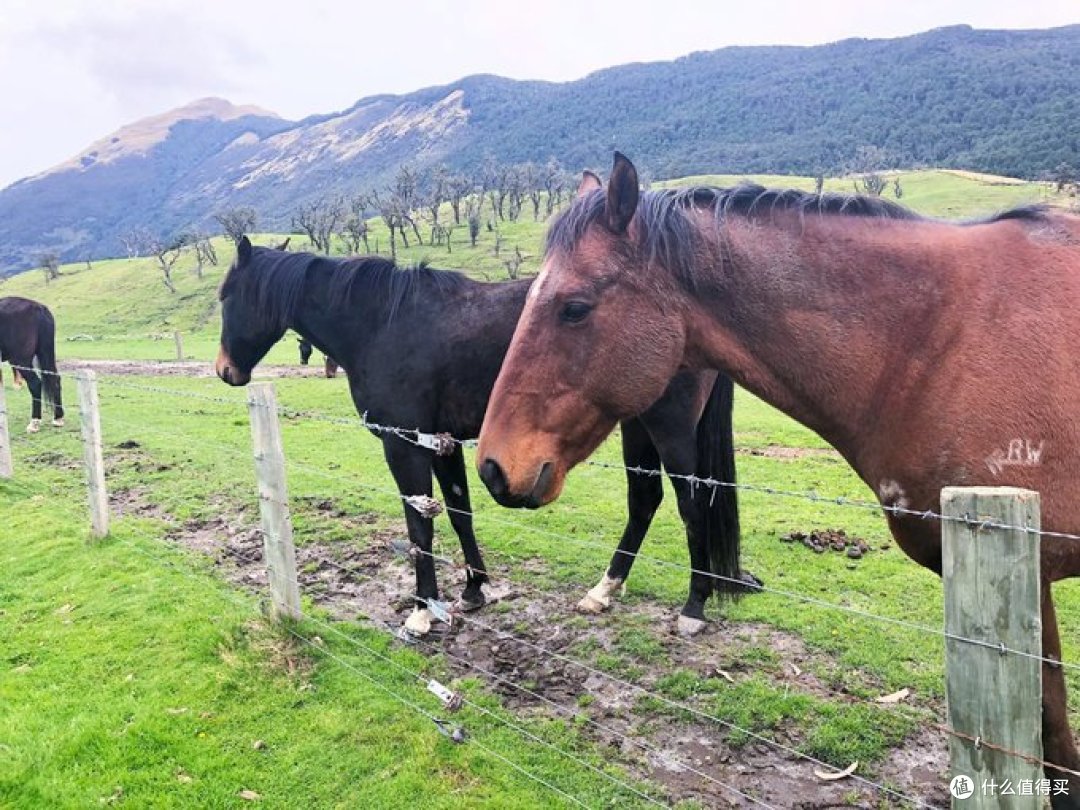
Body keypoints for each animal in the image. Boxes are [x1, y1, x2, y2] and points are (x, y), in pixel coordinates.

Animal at [0, 296, 64, 432]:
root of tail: (38, 307)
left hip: (21, 360)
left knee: (35, 384)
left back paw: (34, 422)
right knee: (55, 380)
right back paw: (58, 418)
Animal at [216, 236, 757, 637]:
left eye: (225, 298)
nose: (225, 371)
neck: (382, 324)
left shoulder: (404, 444)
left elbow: (420, 527)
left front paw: (422, 611)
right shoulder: (443, 441)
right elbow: (459, 512)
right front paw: (474, 589)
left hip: (668, 429)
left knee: (691, 502)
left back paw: (694, 606)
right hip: (635, 427)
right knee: (645, 500)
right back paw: (603, 591)